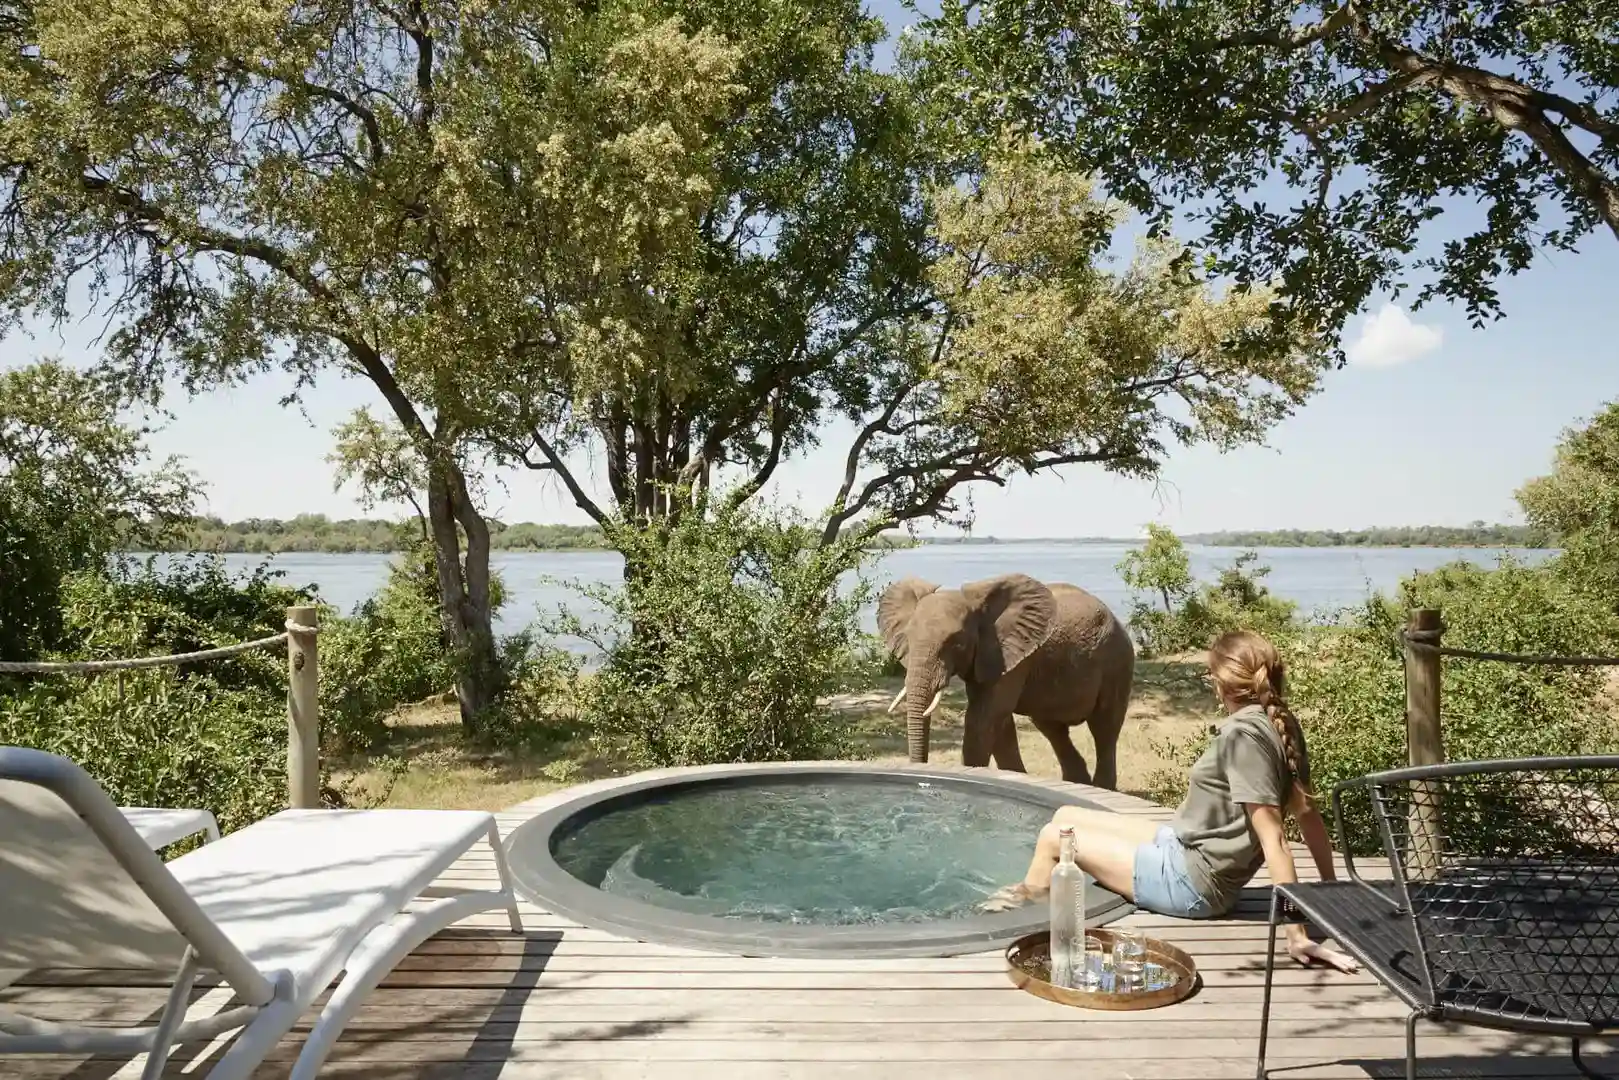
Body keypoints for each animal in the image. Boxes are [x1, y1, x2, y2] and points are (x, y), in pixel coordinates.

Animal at [876, 573, 1135, 789]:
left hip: (1117, 662)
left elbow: (984, 717)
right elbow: (999, 724)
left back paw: (1101, 787)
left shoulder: (1010, 655)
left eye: (957, 643)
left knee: (1105, 726)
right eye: (908, 638)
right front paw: (1015, 776)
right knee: (1052, 728)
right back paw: (1078, 783)